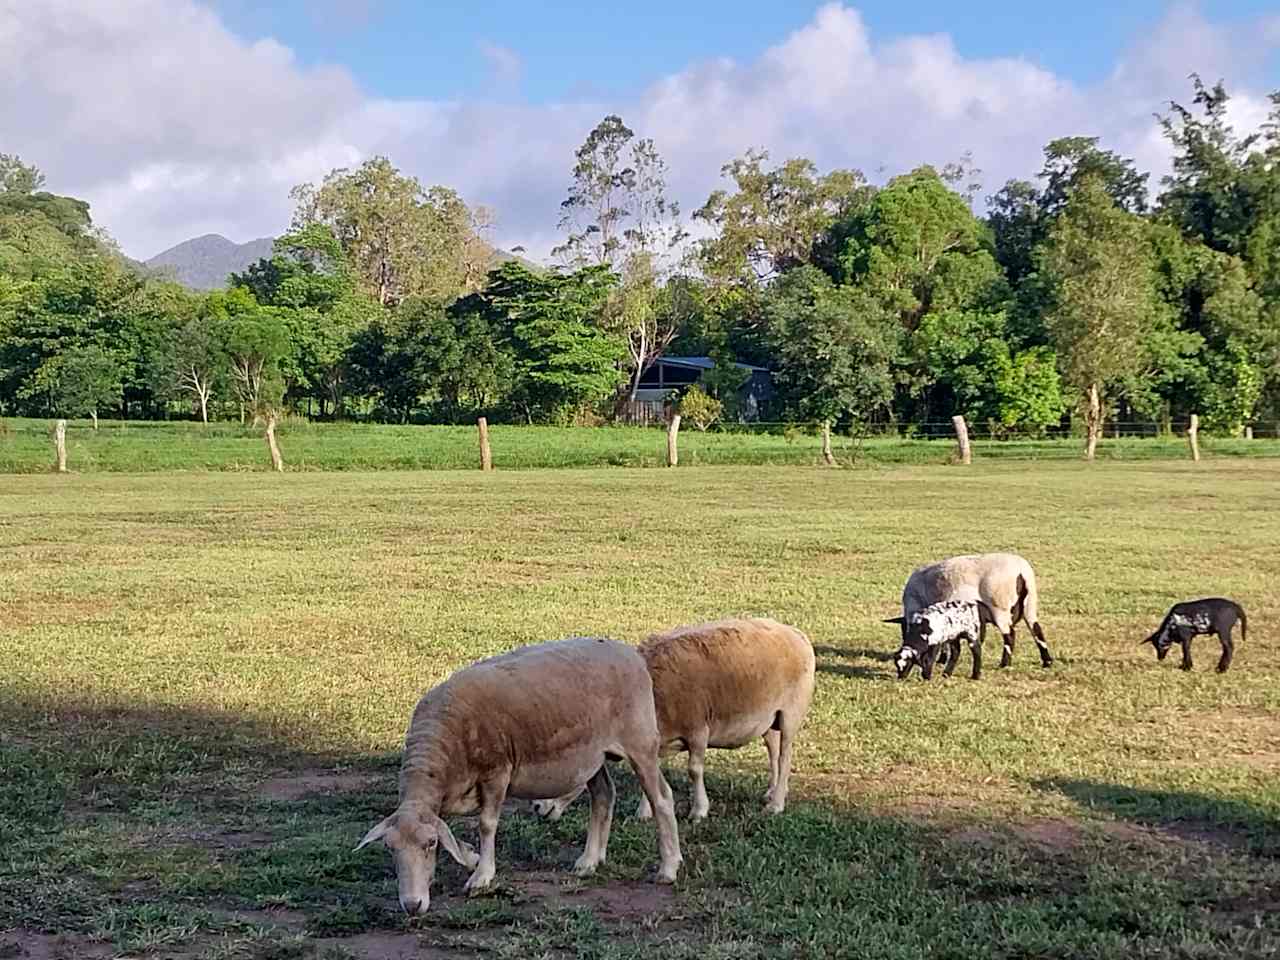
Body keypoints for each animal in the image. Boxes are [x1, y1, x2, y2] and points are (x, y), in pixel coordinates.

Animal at [355, 640, 686, 916]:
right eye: (390, 848)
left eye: (430, 844)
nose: (412, 905)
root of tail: (630, 653)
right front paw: (471, 857)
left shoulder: (496, 772)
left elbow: (486, 824)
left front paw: (482, 875)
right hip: (592, 757)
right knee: (604, 796)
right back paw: (589, 861)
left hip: (640, 743)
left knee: (661, 797)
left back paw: (669, 867)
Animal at [535, 619, 814, 824]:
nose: (538, 807)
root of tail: (796, 633)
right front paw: (645, 811)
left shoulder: (698, 729)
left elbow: (694, 770)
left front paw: (699, 811)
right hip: (770, 719)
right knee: (773, 750)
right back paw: (771, 792)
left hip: (791, 713)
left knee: (785, 755)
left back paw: (776, 803)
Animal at [880, 552, 1049, 670]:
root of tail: (1022, 571)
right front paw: (942, 659)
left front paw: (941, 659)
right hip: (1029, 605)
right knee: (1037, 631)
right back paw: (1047, 661)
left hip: (999, 607)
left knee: (1010, 636)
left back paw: (1004, 664)